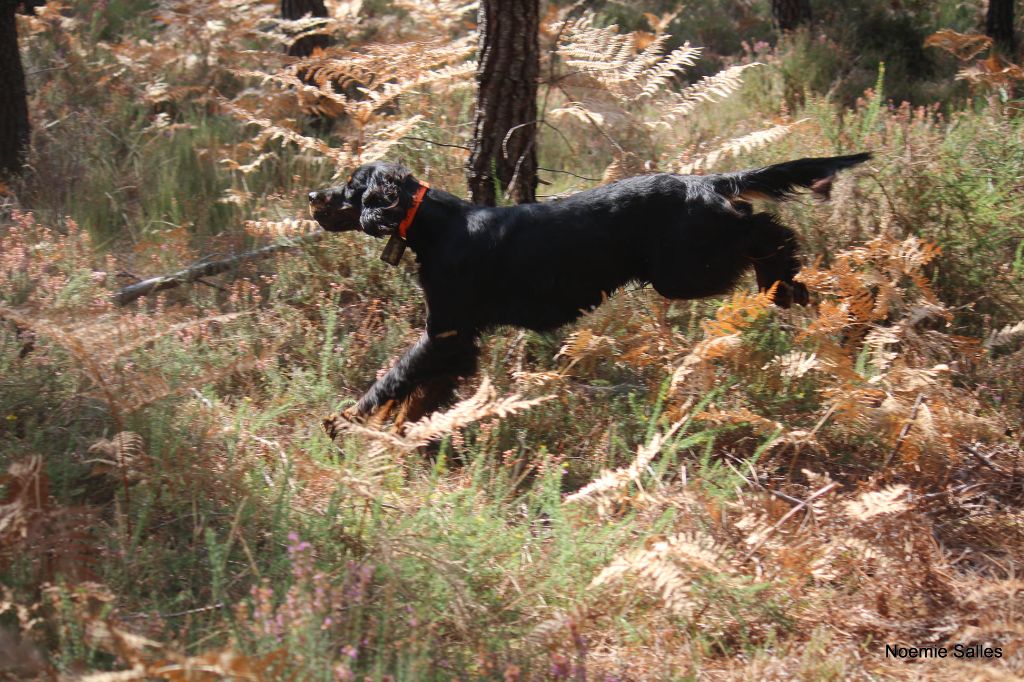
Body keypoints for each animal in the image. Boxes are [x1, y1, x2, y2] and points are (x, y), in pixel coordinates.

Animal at [307, 153, 868, 430]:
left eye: (352, 187)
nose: (313, 194)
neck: (434, 226)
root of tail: (702, 182)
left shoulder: (444, 331)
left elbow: (394, 377)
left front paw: (346, 421)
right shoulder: (457, 341)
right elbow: (420, 390)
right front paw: (405, 430)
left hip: (684, 269)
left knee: (761, 227)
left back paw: (783, 281)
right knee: (756, 223)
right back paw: (786, 285)